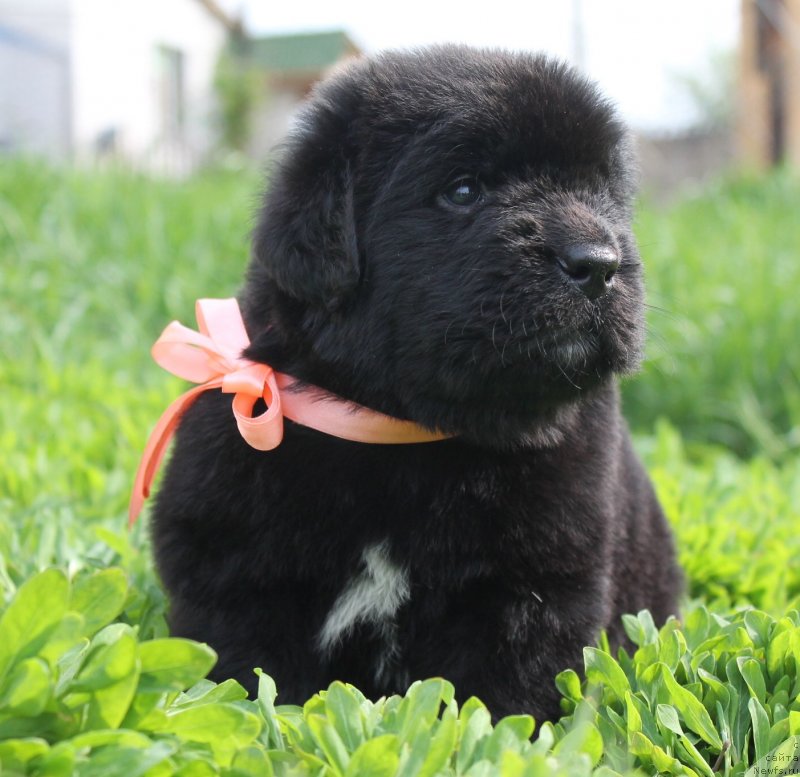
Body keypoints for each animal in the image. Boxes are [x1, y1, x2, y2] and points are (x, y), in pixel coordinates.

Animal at [147, 44, 680, 720]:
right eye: (463, 190)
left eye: (604, 193)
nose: (598, 264)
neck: (401, 434)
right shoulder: (238, 577)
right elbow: (254, 685)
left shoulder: (529, 593)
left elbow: (501, 706)